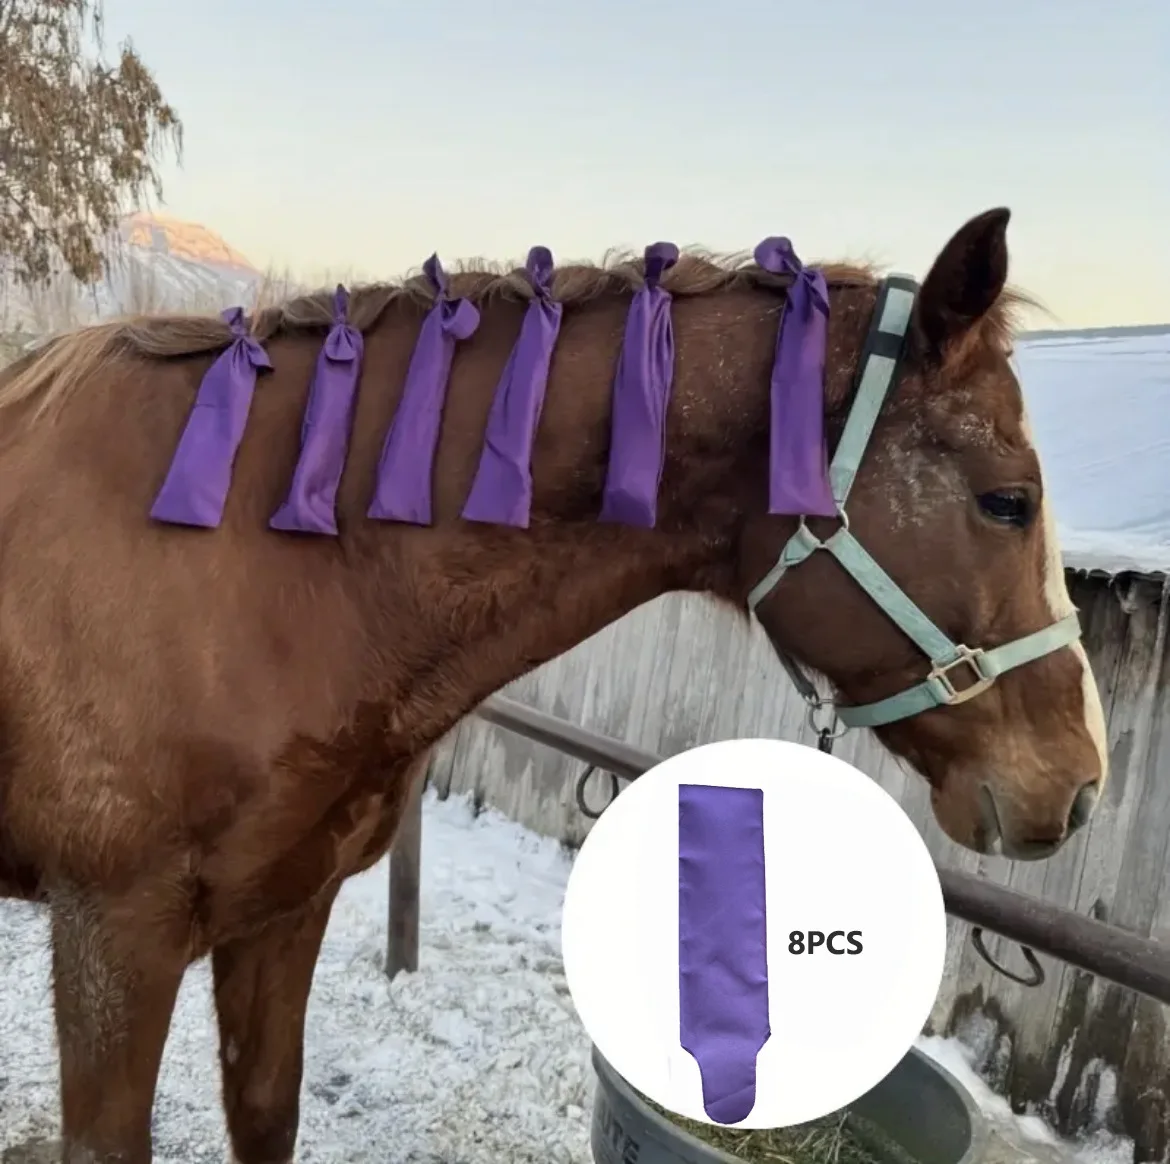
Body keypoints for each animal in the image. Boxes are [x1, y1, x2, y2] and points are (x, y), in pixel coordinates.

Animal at [0, 206, 1107, 1163]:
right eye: (1008, 501)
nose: (1080, 781)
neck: (256, 560)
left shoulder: (283, 913)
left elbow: (268, 1114)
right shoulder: (116, 939)